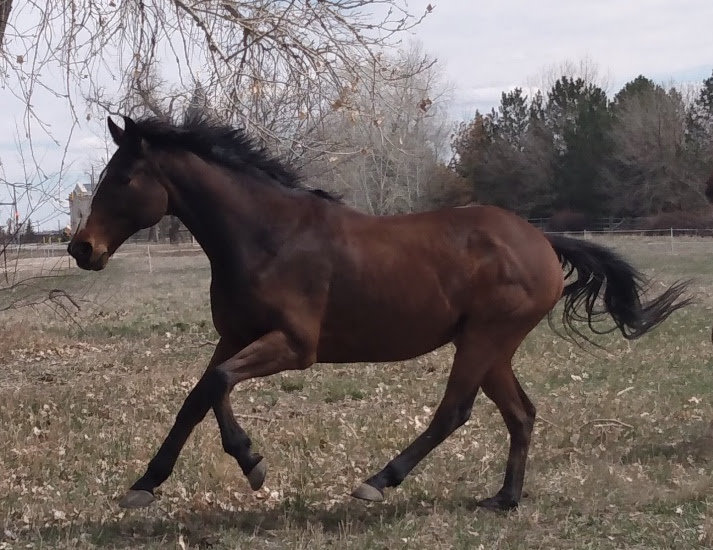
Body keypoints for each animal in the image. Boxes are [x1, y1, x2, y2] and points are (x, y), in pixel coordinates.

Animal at [68, 114, 691, 511]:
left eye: (123, 177)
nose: (81, 249)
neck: (266, 236)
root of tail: (541, 239)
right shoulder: (237, 337)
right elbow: (197, 399)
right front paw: (146, 483)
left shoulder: (294, 347)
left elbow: (218, 384)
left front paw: (251, 463)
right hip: (491, 347)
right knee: (521, 414)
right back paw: (504, 500)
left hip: (483, 342)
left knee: (455, 413)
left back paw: (377, 482)